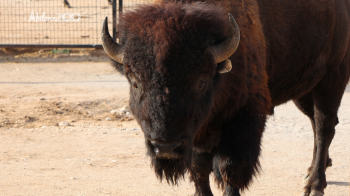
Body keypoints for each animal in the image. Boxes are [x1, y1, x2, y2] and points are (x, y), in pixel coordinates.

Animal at [100, 0, 348, 195]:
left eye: (201, 81)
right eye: (135, 81)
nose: (166, 147)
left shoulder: (242, 122)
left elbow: (229, 170)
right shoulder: (196, 137)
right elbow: (199, 169)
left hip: (332, 79)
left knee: (324, 127)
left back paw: (314, 185)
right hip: (304, 90)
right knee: (316, 124)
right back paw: (314, 170)